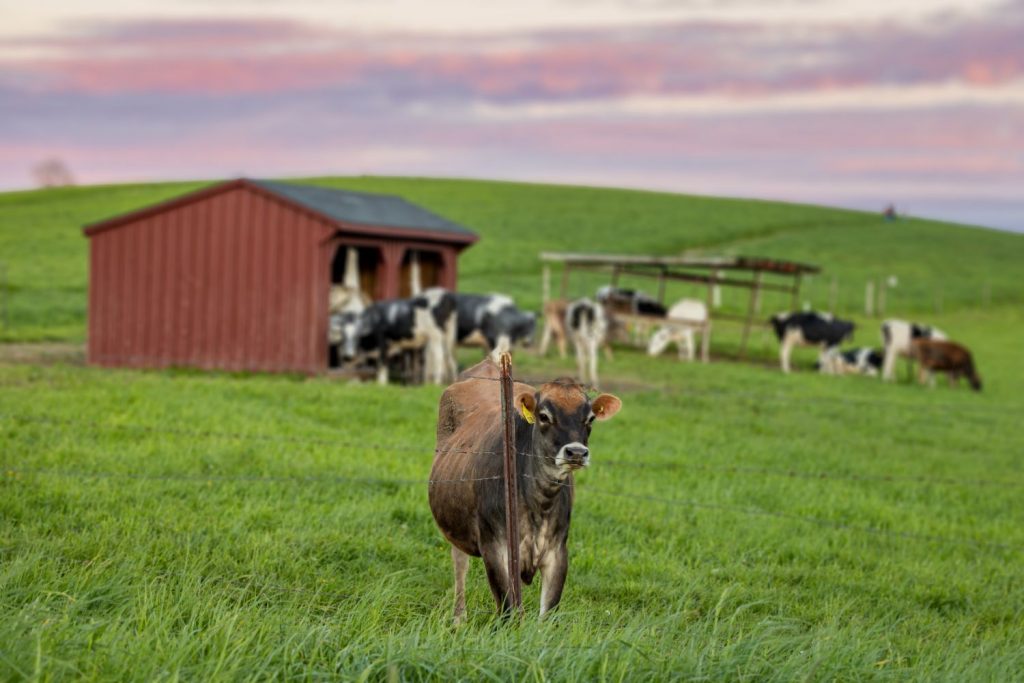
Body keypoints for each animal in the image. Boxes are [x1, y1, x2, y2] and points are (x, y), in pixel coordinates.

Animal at [425, 360, 618, 622]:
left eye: (590, 419)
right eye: (544, 416)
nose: (576, 453)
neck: (539, 502)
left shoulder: (557, 552)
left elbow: (548, 613)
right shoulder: (495, 549)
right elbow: (508, 610)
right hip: (455, 524)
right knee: (460, 564)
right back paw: (459, 619)